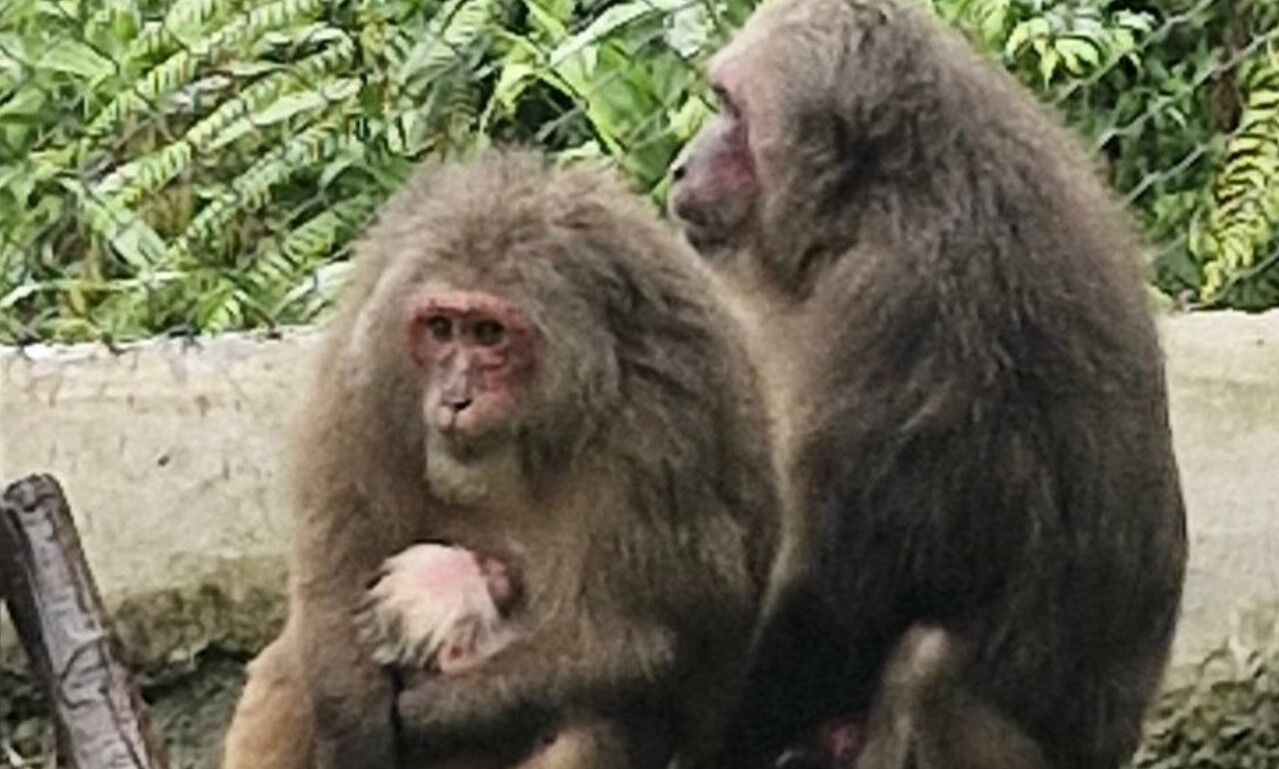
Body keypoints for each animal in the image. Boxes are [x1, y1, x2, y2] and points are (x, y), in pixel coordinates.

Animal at [220, 148, 782, 769]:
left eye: (490, 334)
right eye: (441, 328)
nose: (455, 397)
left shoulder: (658, 432)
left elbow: (633, 641)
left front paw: (423, 713)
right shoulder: (364, 377)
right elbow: (331, 580)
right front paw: (356, 722)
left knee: (598, 717)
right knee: (295, 664)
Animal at [667, 1, 1189, 768]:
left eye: (731, 110)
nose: (681, 163)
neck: (883, 190)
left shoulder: (895, 304)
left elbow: (834, 600)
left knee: (925, 667)